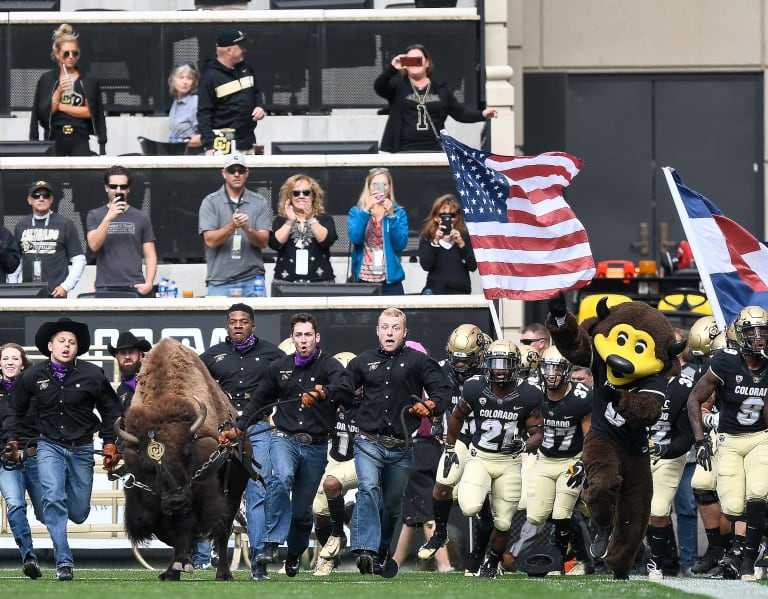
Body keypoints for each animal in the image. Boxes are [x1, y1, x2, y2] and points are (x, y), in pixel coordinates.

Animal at [117, 342, 249, 580]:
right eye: (147, 464)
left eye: (187, 451)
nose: (175, 501)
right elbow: (167, 532)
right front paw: (173, 569)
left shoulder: (200, 491)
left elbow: (190, 526)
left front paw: (183, 563)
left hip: (235, 490)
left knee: (223, 530)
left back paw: (223, 574)